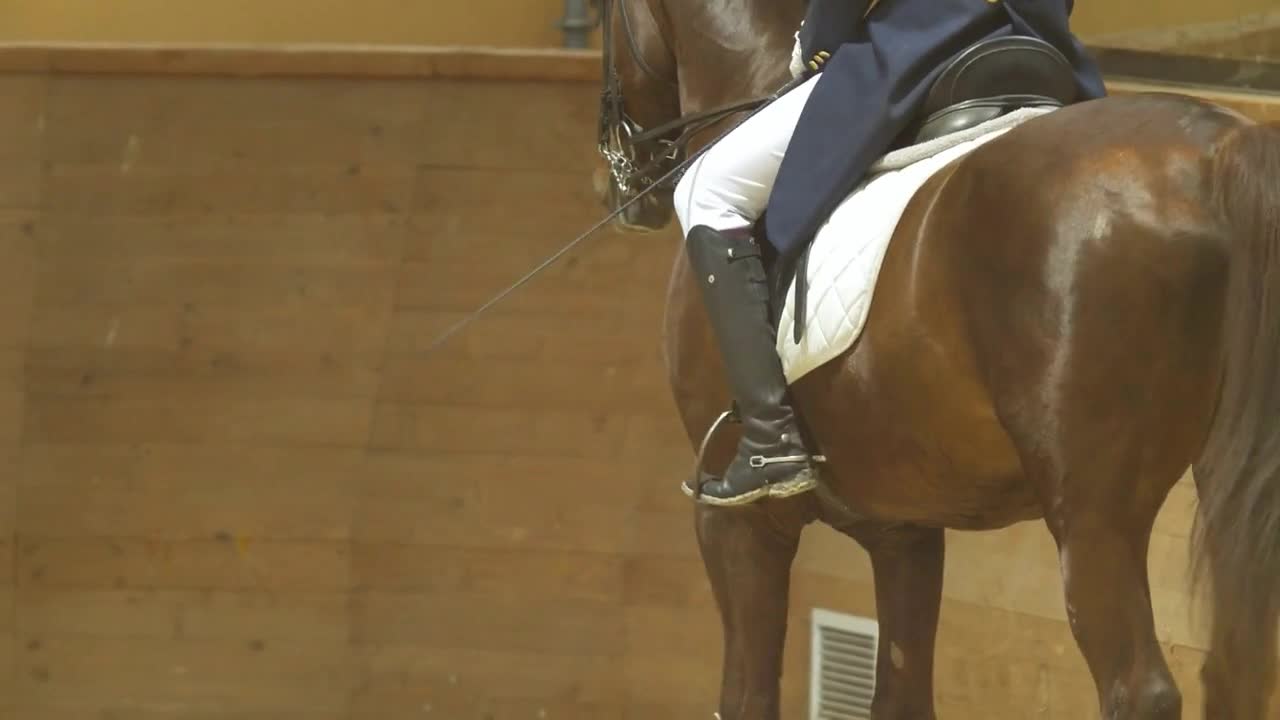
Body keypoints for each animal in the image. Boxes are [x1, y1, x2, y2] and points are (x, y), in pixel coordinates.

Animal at [593, 0, 1280, 712]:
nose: (621, 187)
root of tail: (1221, 149)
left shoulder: (740, 523)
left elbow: (746, 697)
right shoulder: (905, 530)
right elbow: (900, 694)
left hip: (1094, 513)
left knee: (1139, 688)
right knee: (1238, 673)